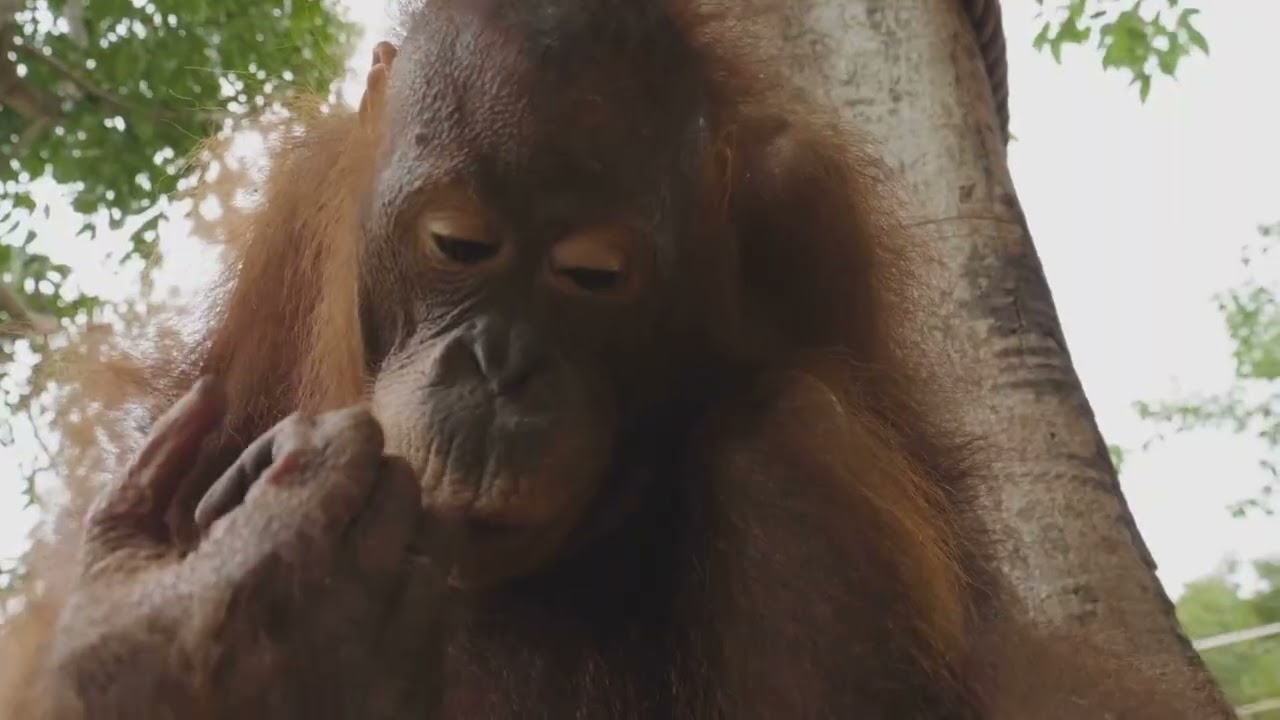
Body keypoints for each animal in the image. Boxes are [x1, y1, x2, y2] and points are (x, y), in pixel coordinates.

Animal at [0, 1, 1222, 718]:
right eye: (458, 246)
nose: (500, 366)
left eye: (591, 275)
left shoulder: (806, 220)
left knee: (785, 438)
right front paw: (194, 634)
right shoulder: (305, 206)